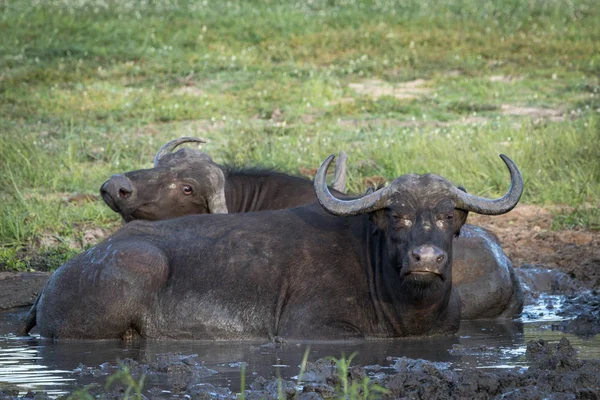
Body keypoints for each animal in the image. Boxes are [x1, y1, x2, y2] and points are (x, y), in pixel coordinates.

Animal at [18, 155, 524, 340]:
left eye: (450, 215)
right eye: (395, 214)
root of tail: (53, 282)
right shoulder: (313, 330)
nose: (426, 260)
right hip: (134, 267)